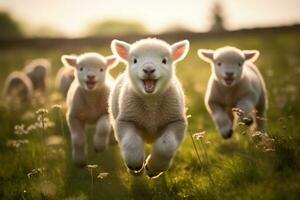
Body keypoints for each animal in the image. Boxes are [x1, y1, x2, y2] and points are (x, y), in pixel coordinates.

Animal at [110, 37, 189, 178]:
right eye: (135, 60)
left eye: (164, 60)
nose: (148, 70)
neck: (151, 103)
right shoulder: (125, 120)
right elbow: (131, 141)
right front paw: (135, 165)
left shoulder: (176, 121)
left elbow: (166, 146)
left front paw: (153, 168)